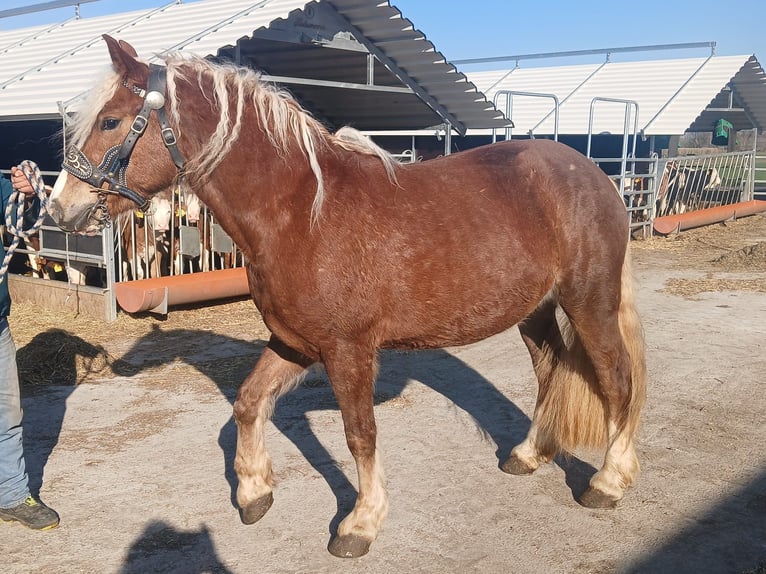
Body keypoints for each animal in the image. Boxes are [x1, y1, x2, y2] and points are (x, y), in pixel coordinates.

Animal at [47, 35, 647, 559]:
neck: (300, 214)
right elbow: (248, 402)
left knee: (618, 381)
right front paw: (254, 492)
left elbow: (360, 435)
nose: (59, 210)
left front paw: (360, 523)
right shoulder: (295, 342)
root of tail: (596, 177)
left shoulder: (347, 350)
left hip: (589, 303)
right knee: (551, 373)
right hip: (535, 312)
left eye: (110, 121)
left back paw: (608, 481)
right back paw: (529, 454)